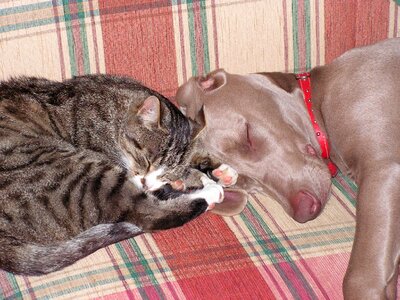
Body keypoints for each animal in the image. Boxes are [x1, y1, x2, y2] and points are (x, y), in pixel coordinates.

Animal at [0, 74, 222, 274]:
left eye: (167, 174)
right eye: (146, 161)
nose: (149, 183)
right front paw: (200, 180)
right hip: (87, 175)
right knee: (148, 213)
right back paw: (207, 194)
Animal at [177, 38, 400, 300]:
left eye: (247, 136)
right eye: (242, 181)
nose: (304, 209)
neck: (318, 101)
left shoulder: (383, 168)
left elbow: (359, 278)